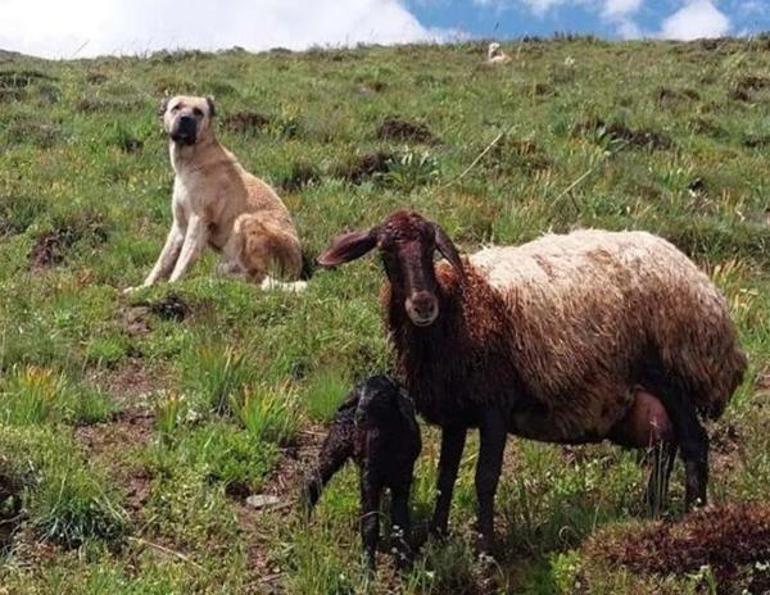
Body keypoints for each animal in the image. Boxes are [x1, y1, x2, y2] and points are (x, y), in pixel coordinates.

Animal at [125, 93, 304, 296]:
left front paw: (169, 287)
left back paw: (211, 281)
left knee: (256, 277)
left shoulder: (199, 222)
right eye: (176, 107)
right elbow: (162, 263)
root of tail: (297, 269)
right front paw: (143, 288)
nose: (185, 119)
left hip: (245, 220)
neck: (192, 160)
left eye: (198, 112)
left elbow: (181, 263)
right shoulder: (179, 226)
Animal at [316, 211, 744, 556]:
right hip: (645, 397)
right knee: (663, 444)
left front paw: (484, 551)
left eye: (430, 249)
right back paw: (652, 510)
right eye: (386, 253)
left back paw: (694, 519)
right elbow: (444, 476)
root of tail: (706, 291)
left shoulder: (494, 407)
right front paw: (437, 538)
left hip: (674, 374)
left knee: (693, 443)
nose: (423, 304)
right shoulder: (456, 412)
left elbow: (485, 478)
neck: (458, 307)